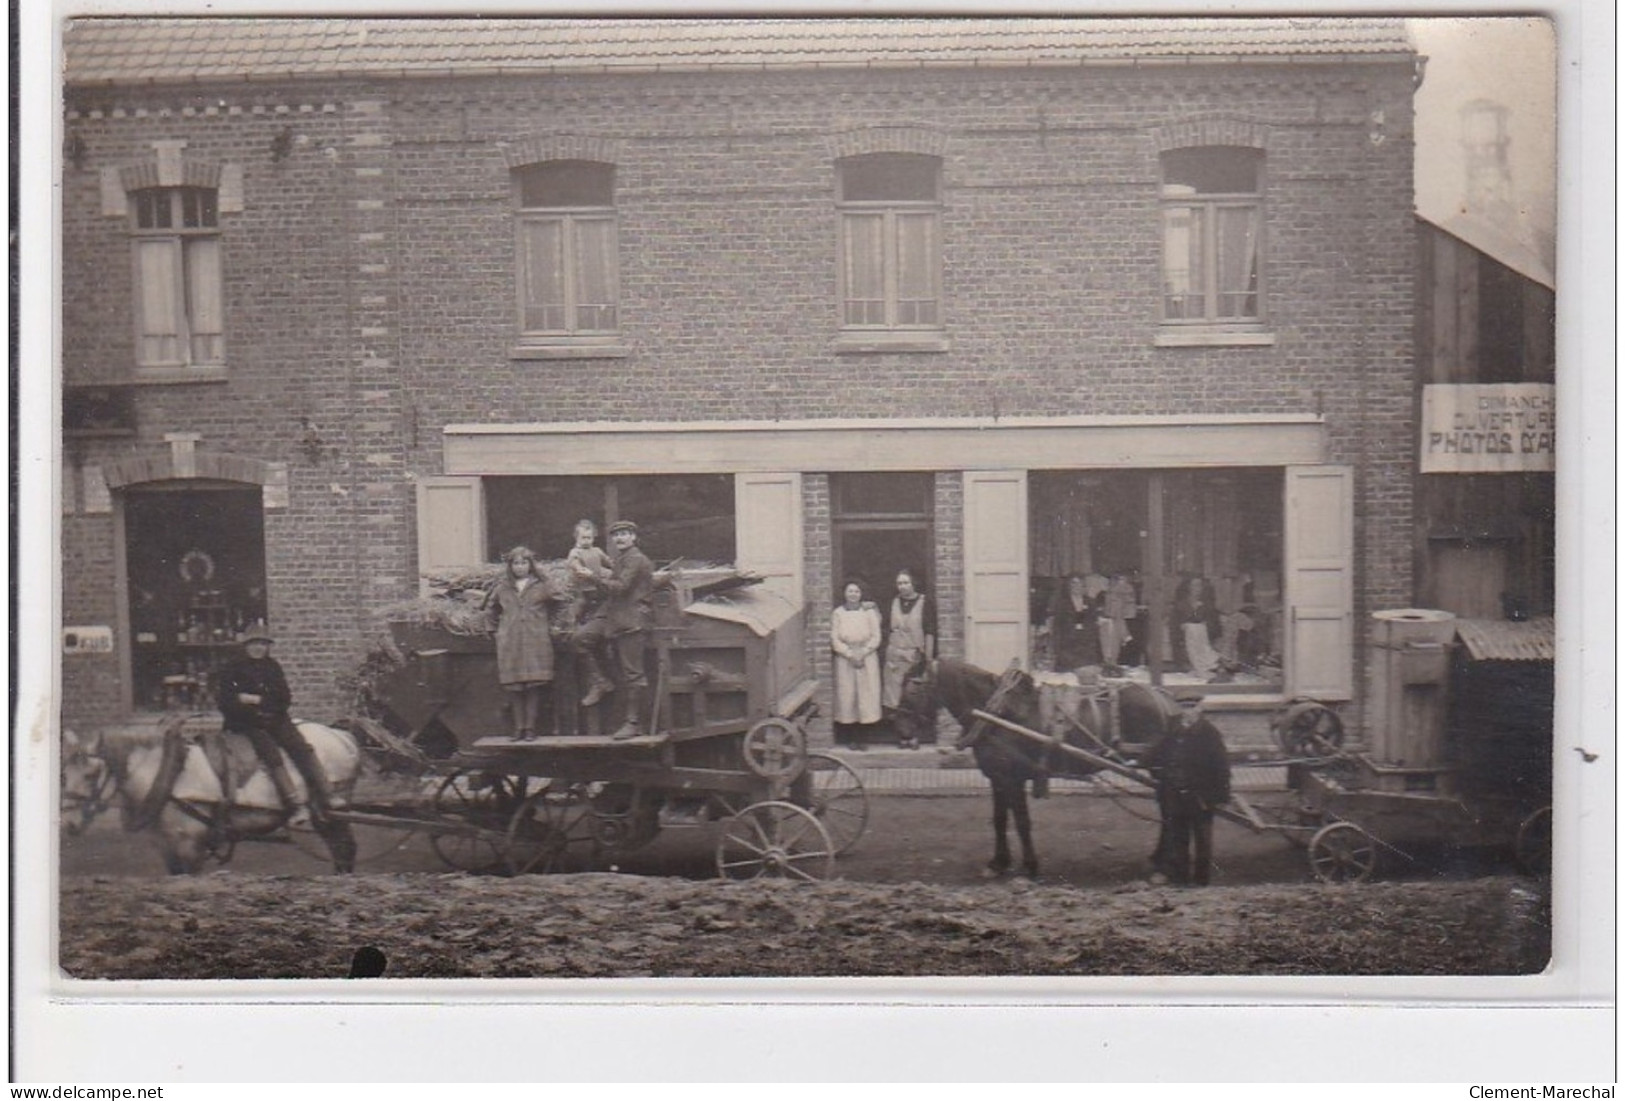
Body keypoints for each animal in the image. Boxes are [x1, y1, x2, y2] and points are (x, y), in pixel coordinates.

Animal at [64, 721, 362, 876]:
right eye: (63, 773)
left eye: (91, 774)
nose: (68, 824)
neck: (171, 774)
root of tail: (342, 736)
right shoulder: (168, 849)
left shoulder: (191, 849)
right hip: (324, 816)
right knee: (341, 850)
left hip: (332, 808)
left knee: (345, 848)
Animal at [890, 665, 1183, 876]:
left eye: (912, 688)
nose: (900, 730)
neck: (996, 713)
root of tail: (1166, 700)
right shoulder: (998, 779)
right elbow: (999, 820)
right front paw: (998, 862)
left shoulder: (1012, 778)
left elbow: (1021, 821)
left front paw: (1029, 864)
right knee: (1167, 806)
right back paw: (1159, 857)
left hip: (1158, 768)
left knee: (1169, 807)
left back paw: (1164, 861)